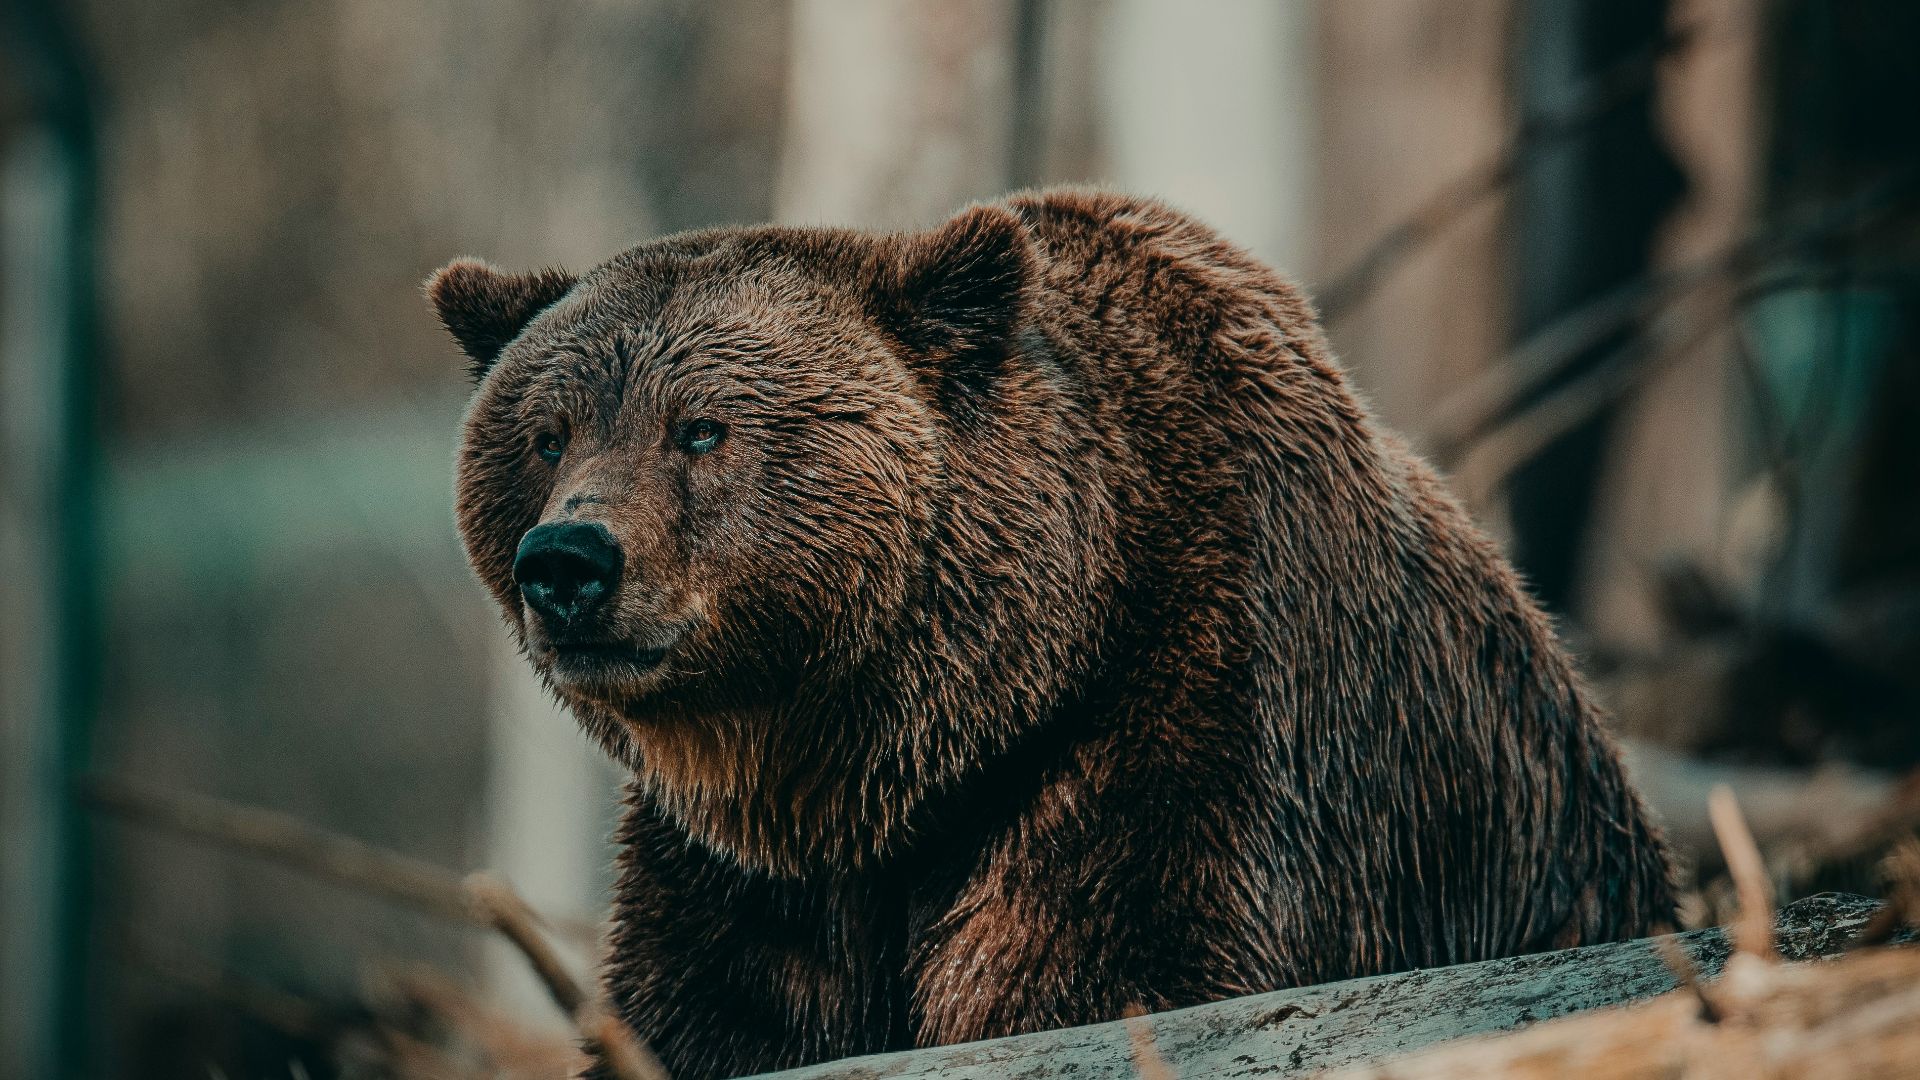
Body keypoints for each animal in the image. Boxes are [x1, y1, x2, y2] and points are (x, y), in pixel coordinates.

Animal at [427, 187, 1674, 1079]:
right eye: (547, 433)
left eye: (700, 429)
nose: (568, 564)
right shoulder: (750, 870)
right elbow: (708, 1012)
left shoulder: (1194, 716)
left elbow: (1107, 970)